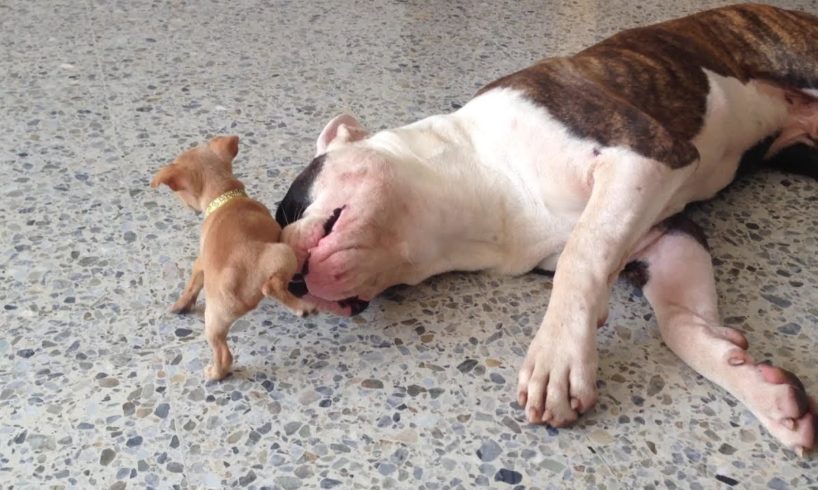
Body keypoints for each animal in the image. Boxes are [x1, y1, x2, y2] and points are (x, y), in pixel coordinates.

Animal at [150, 136, 312, 380]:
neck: (224, 196)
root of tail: (232, 282)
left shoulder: (200, 262)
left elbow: (192, 283)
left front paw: (181, 304)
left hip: (215, 319)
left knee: (223, 351)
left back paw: (215, 373)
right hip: (282, 253)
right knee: (270, 288)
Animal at [276, 4, 816, 456]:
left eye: (287, 209)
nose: (291, 281)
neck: (480, 190)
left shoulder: (644, 155)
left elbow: (583, 252)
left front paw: (558, 357)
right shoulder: (666, 238)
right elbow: (682, 324)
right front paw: (761, 389)